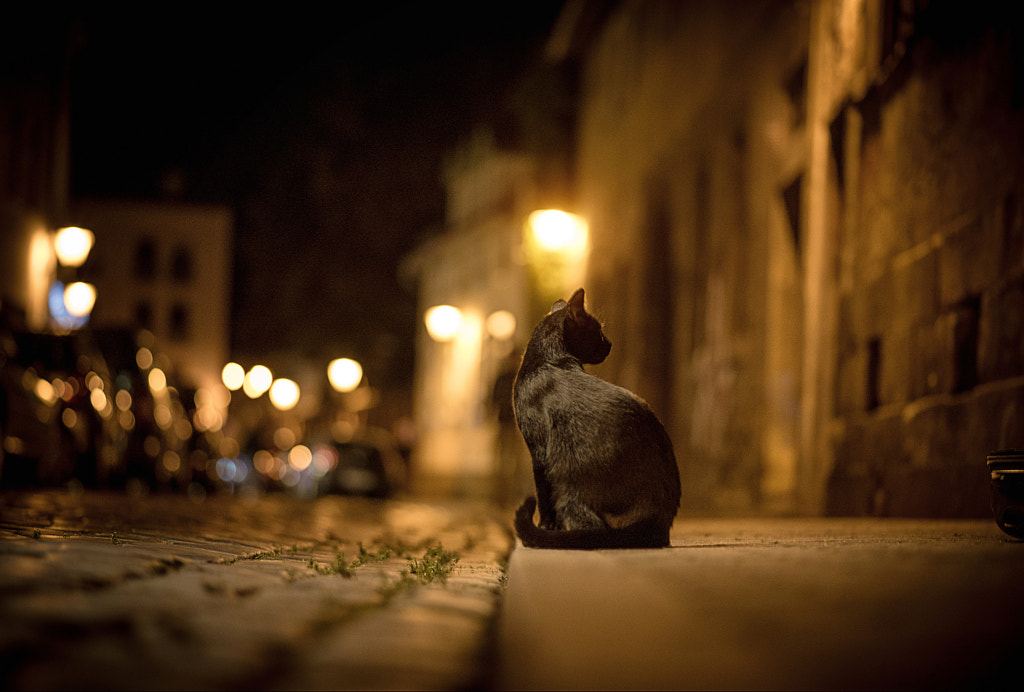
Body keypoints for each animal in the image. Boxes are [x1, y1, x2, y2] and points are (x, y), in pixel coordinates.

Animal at [509, 288, 679, 548]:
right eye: (598, 331)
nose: (609, 343)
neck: (546, 358)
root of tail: (660, 520)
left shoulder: (538, 453)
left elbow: (543, 498)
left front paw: (545, 528)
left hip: (567, 485)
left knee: (592, 528)